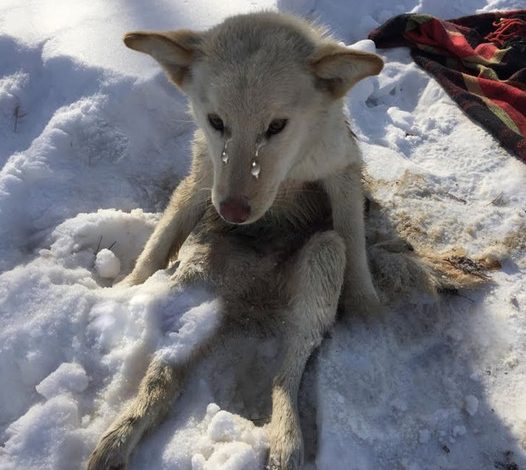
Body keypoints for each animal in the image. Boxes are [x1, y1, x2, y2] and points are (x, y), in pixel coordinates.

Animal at [86, 10, 462, 470]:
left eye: (276, 126)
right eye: (217, 122)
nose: (233, 212)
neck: (291, 168)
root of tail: (249, 303)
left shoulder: (342, 177)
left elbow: (354, 243)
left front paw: (367, 310)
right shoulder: (203, 179)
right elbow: (160, 241)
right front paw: (127, 289)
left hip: (321, 260)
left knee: (287, 370)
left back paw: (287, 440)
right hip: (197, 276)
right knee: (165, 375)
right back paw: (122, 433)